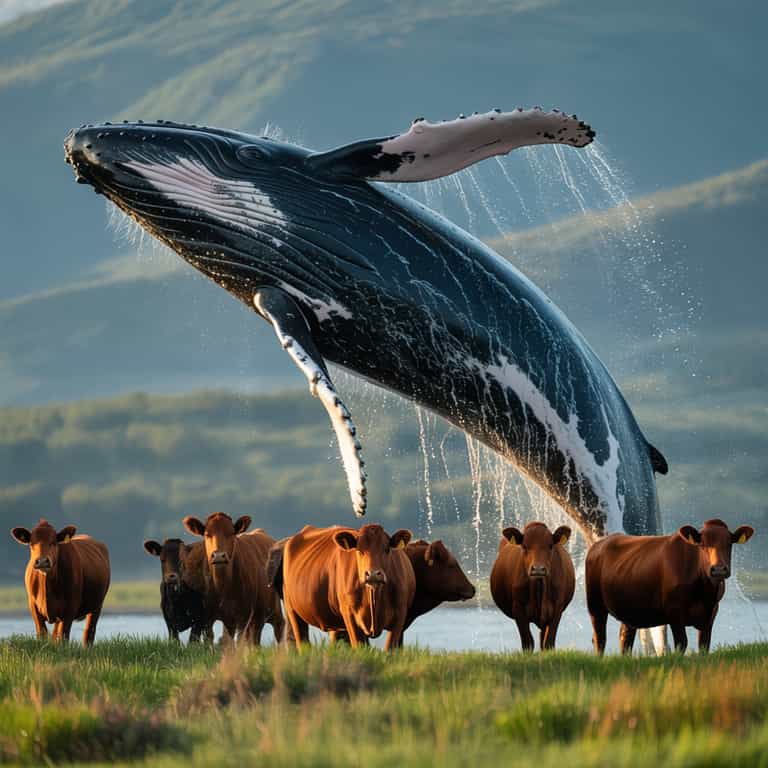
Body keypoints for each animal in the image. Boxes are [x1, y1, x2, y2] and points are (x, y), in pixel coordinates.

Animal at [183, 513, 284, 644]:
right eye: (207, 534)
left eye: (230, 533)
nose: (219, 556)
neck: (223, 587)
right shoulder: (207, 618)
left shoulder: (243, 617)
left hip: (273, 613)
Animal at [279, 524, 415, 651]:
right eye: (359, 550)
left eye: (387, 549)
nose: (372, 574)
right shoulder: (350, 615)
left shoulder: (399, 616)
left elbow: (389, 649)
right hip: (292, 610)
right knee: (302, 642)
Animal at [490, 522, 574, 651]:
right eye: (524, 546)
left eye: (550, 546)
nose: (538, 569)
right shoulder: (518, 608)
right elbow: (528, 643)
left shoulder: (557, 608)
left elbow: (549, 642)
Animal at [586, 518, 755, 654]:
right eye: (702, 543)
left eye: (729, 543)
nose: (718, 569)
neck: (704, 592)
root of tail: (599, 544)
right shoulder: (674, 612)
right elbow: (681, 643)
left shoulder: (711, 613)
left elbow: (704, 646)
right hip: (595, 605)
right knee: (599, 638)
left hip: (629, 610)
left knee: (625, 639)